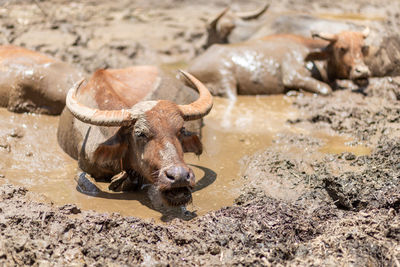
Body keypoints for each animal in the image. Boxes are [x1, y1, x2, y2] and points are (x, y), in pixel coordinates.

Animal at [189, 28, 370, 99]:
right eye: (342, 48)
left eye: (363, 47)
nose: (362, 71)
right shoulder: (293, 76)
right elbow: (326, 89)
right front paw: (297, 92)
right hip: (226, 78)